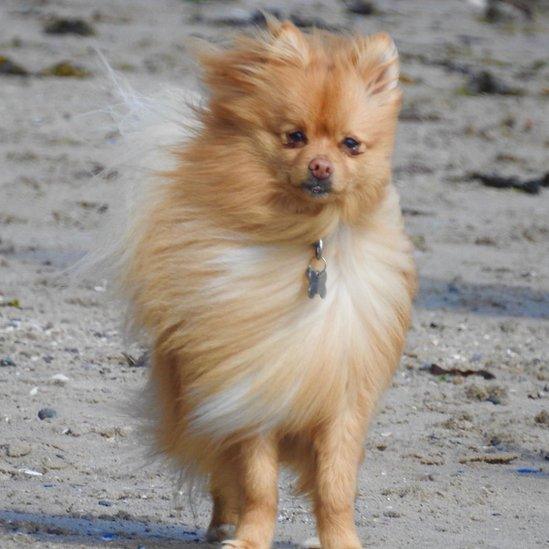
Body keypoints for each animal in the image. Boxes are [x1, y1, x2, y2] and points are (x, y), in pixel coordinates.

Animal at [111, 18, 416, 548]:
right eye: (294, 137)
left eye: (350, 144)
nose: (320, 166)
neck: (307, 237)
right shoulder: (249, 392)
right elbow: (258, 484)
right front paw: (250, 537)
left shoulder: (343, 401)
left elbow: (335, 486)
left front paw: (341, 540)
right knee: (223, 477)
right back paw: (223, 525)